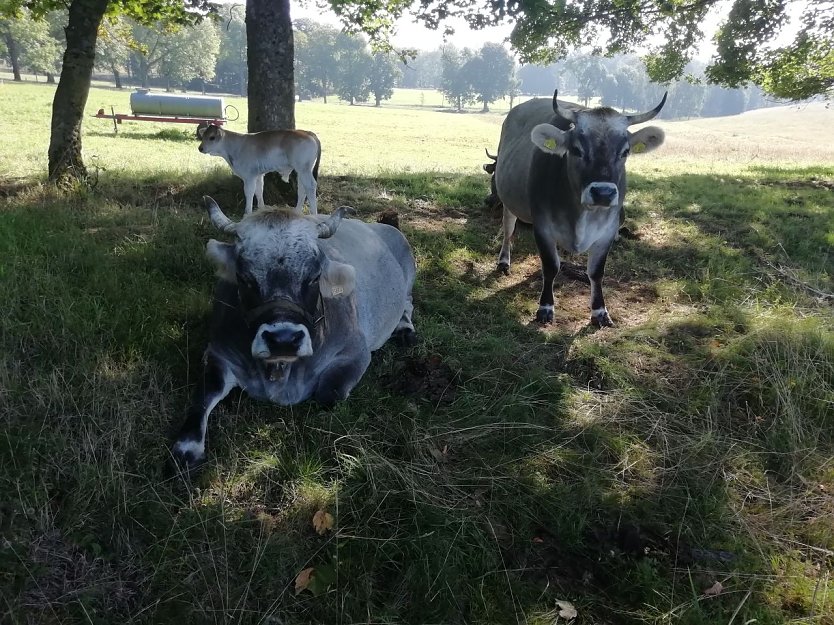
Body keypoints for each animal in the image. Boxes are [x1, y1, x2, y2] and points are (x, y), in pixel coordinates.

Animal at [490, 91, 668, 326]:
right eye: (576, 149)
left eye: (625, 151)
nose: (603, 193)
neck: (582, 215)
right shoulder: (542, 226)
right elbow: (550, 266)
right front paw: (545, 308)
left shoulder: (608, 232)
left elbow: (596, 272)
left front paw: (599, 311)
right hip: (507, 199)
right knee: (508, 229)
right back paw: (504, 261)